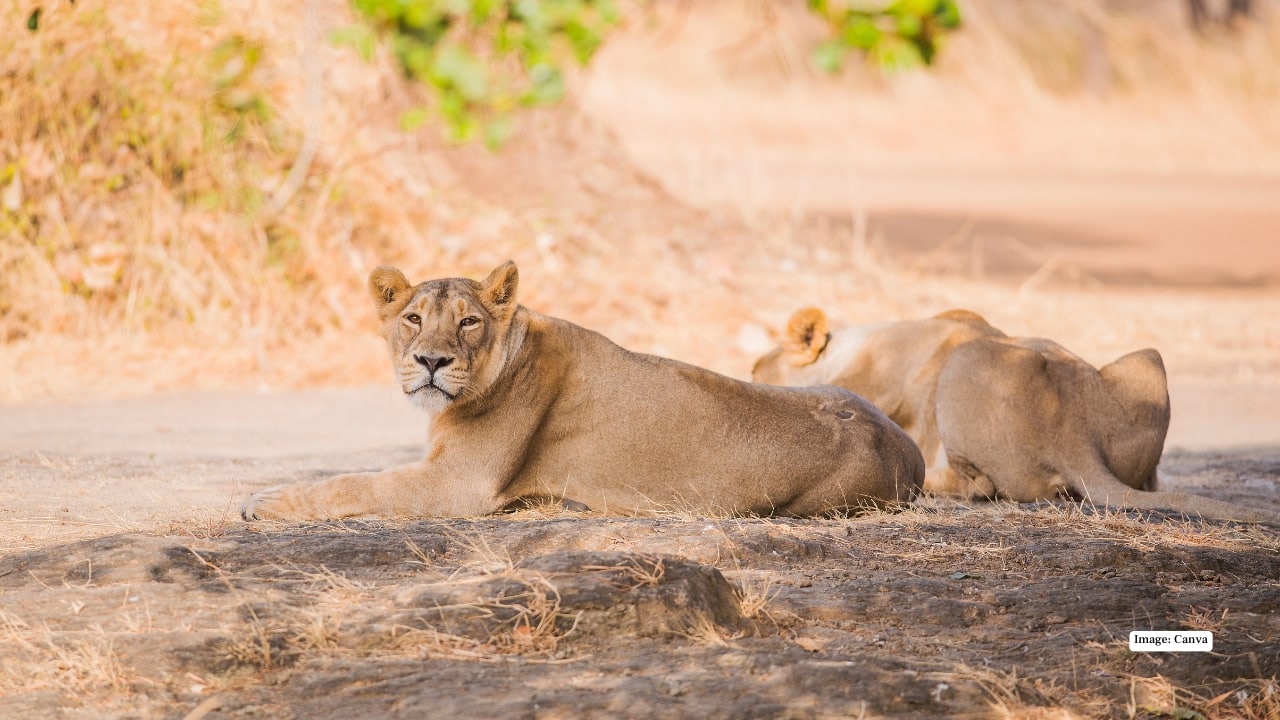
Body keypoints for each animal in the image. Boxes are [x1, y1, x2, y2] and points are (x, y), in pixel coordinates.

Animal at [240, 262, 924, 521]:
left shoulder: (458, 484)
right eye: (412, 318)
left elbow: (353, 484)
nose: (431, 361)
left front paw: (263, 502)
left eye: (468, 322)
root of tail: (912, 451)